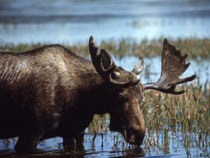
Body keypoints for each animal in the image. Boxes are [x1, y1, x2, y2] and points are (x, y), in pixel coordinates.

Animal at [0, 36, 195, 153]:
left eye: (142, 99)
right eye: (120, 96)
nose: (138, 134)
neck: (83, 102)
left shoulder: (74, 132)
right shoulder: (31, 132)